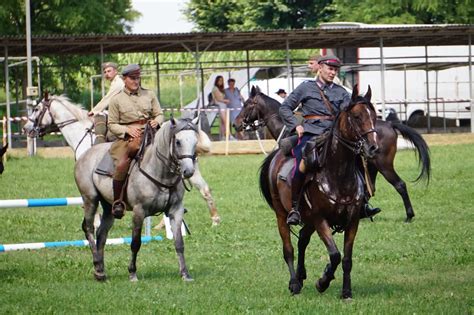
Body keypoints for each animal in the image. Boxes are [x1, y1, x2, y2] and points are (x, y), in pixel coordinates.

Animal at [73, 118, 198, 282]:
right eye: (178, 142)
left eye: (195, 141)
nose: (188, 171)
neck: (160, 172)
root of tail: (85, 155)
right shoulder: (139, 211)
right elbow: (135, 243)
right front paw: (132, 273)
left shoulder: (175, 211)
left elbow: (179, 242)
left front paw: (185, 274)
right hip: (90, 200)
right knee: (89, 229)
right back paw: (98, 267)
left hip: (108, 207)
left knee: (102, 234)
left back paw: (100, 270)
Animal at [235, 86, 432, 222]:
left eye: (247, 104)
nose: (236, 124)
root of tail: (391, 124)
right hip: (372, 166)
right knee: (372, 190)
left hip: (384, 165)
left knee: (400, 185)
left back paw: (409, 215)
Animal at [260, 86, 378, 298]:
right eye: (357, 117)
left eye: (374, 115)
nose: (373, 147)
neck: (337, 175)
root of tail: (276, 156)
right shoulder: (320, 219)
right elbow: (335, 255)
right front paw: (322, 282)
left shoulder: (352, 222)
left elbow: (346, 259)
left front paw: (346, 292)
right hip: (283, 215)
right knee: (288, 249)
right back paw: (294, 283)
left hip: (308, 220)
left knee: (302, 240)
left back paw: (300, 276)